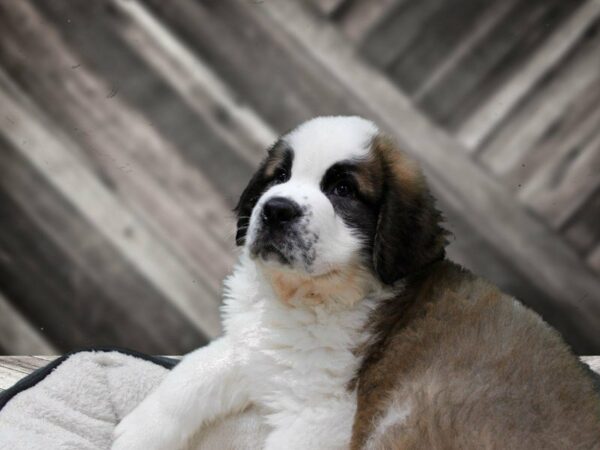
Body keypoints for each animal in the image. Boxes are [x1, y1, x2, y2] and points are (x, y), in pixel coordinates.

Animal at [113, 117, 600, 450]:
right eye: (279, 176)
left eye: (343, 190)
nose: (275, 210)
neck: (308, 297)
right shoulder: (257, 347)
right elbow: (194, 372)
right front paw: (137, 432)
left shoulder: (321, 417)